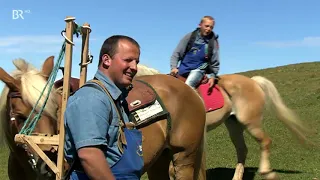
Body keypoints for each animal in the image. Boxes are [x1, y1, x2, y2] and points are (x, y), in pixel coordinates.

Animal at [0, 55, 208, 179]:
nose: (48, 167)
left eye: (56, 109)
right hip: (160, 160)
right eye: (19, 116)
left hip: (184, 157)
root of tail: (188, 89)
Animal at [136, 64, 310, 179]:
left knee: (265, 141)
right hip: (234, 125)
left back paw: (266, 171)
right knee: (242, 149)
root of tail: (253, 81)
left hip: (250, 123)